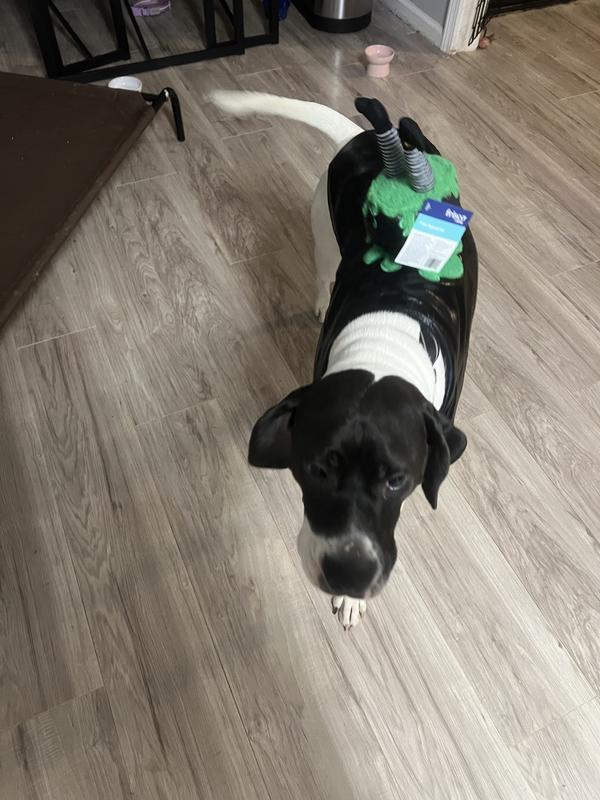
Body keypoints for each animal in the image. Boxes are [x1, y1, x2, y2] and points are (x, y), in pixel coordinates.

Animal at [211, 91, 478, 629]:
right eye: (314, 469)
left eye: (398, 481)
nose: (348, 575)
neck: (385, 345)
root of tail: (366, 139)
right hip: (322, 228)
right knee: (322, 268)